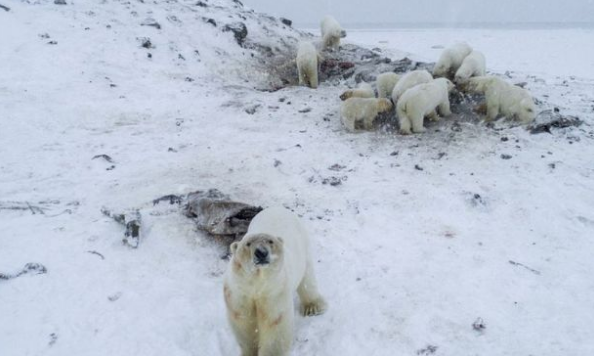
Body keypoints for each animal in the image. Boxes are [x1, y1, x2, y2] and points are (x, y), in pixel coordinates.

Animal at [222, 207, 326, 356]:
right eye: (248, 244)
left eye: (270, 241)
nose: (261, 252)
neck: (257, 283)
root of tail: (277, 207)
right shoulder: (239, 292)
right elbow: (244, 322)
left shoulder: (274, 291)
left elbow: (275, 324)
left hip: (303, 247)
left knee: (307, 277)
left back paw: (313, 307)